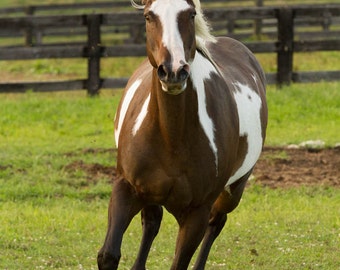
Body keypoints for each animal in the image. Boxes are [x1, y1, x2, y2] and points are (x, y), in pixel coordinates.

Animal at [98, 1, 268, 268]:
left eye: (191, 14)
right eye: (149, 16)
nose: (173, 71)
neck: (172, 138)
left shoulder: (196, 213)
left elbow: (180, 261)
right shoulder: (126, 188)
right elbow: (108, 254)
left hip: (233, 189)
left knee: (216, 222)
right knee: (152, 222)